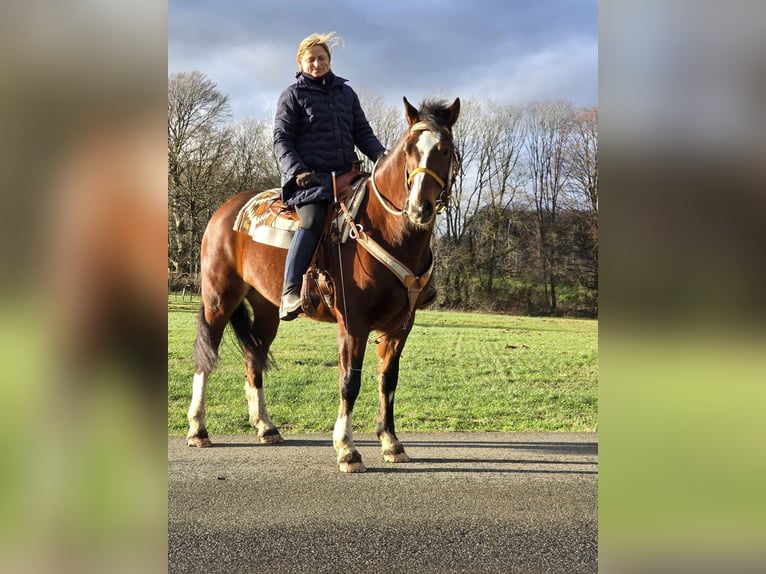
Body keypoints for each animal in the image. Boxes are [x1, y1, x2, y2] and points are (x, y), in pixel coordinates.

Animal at [186, 97, 462, 474]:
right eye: (409, 150)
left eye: (445, 149)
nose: (420, 207)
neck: (386, 231)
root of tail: (225, 210)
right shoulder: (353, 323)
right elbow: (350, 380)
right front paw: (347, 449)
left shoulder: (400, 325)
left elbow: (388, 379)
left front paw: (391, 442)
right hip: (218, 299)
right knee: (206, 356)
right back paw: (198, 429)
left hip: (266, 309)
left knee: (253, 357)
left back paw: (266, 427)